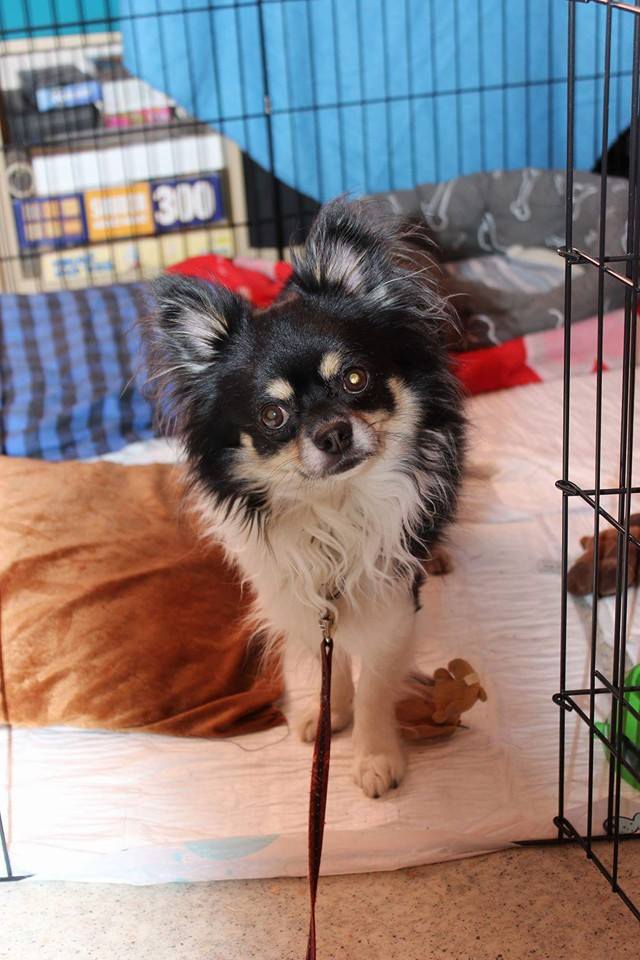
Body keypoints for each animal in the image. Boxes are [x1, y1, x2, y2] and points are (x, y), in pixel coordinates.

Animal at [142, 199, 466, 797]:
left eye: (356, 379)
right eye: (273, 415)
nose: (333, 432)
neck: (333, 506)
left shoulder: (390, 594)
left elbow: (376, 681)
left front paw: (374, 755)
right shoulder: (297, 592)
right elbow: (323, 661)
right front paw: (327, 712)